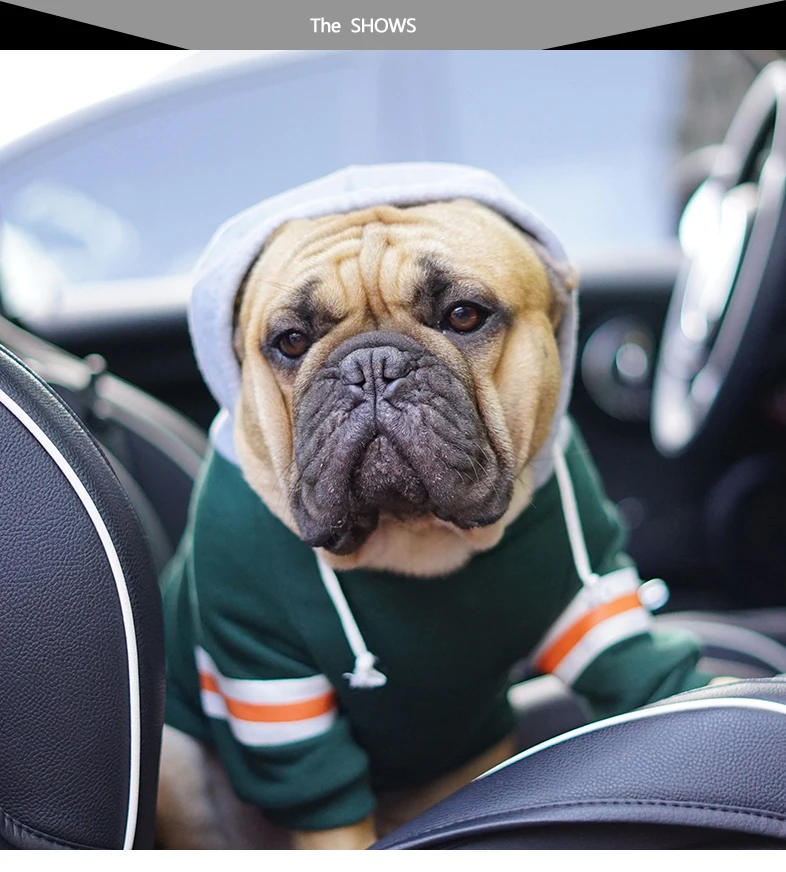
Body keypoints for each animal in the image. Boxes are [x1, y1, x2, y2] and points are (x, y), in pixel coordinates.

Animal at [155, 162, 712, 844]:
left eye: (465, 316)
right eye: (289, 340)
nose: (371, 367)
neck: (413, 536)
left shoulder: (596, 600)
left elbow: (636, 666)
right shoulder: (274, 688)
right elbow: (329, 808)